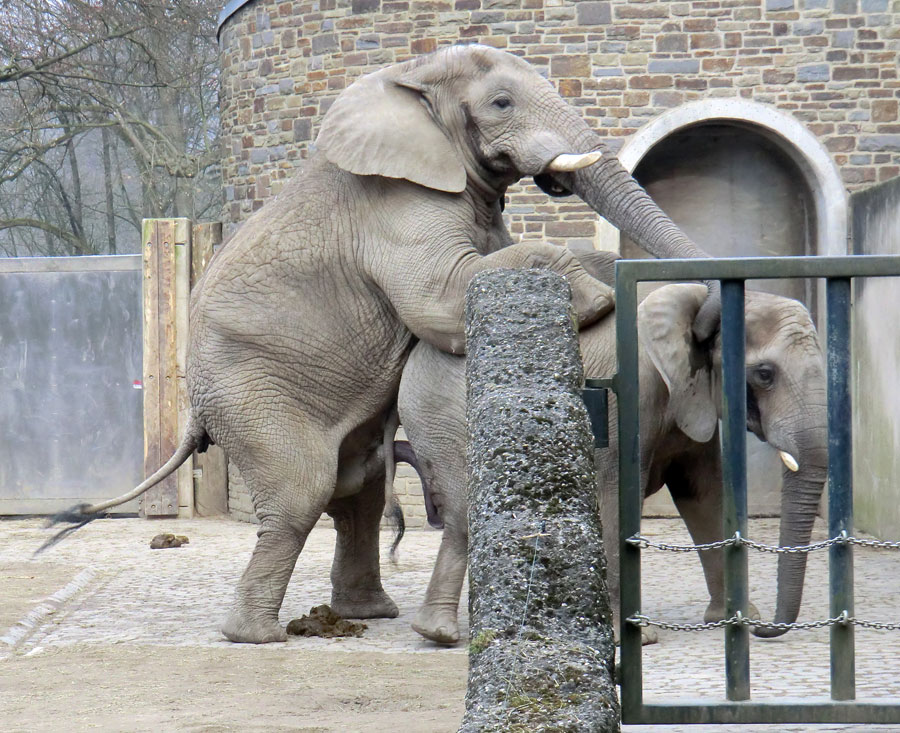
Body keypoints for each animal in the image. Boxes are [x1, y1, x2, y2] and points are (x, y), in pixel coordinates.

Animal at [42, 45, 720, 644]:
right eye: (500, 102)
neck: (410, 77)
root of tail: (192, 410)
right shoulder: (395, 207)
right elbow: (443, 294)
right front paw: (598, 296)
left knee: (357, 487)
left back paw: (366, 615)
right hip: (249, 393)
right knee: (301, 492)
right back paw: (257, 636)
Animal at [398, 274, 828, 648]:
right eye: (765, 374)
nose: (765, 630)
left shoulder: (693, 401)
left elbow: (705, 496)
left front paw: (734, 619)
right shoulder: (630, 400)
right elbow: (616, 494)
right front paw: (633, 638)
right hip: (442, 422)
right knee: (463, 519)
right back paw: (440, 633)